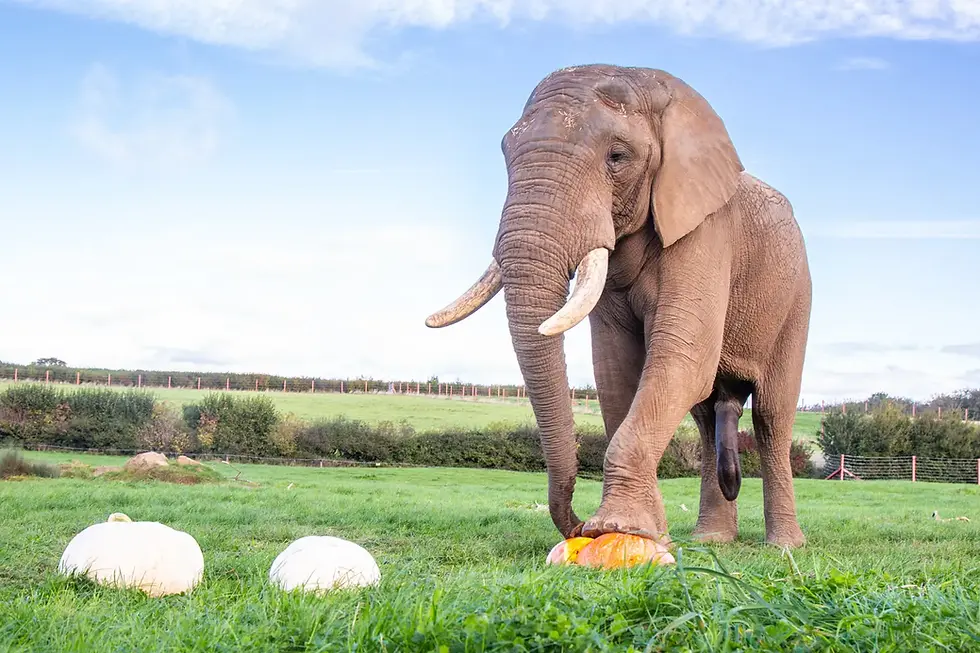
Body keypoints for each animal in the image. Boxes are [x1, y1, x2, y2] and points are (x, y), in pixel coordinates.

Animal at [425, 64, 811, 549]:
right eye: (506, 152)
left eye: (617, 157)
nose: (576, 526)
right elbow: (615, 370)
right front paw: (645, 530)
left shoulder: (706, 228)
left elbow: (682, 355)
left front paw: (619, 527)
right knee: (707, 415)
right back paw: (710, 541)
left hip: (797, 297)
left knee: (772, 416)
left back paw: (783, 547)